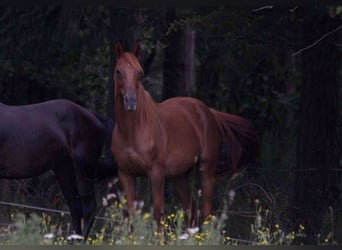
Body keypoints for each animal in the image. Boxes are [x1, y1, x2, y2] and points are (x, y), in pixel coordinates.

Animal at [111, 43, 258, 229]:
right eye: (118, 71)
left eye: (140, 72)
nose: (131, 102)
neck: (133, 131)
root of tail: (209, 112)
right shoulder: (126, 174)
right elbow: (131, 216)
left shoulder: (156, 173)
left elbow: (158, 213)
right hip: (179, 176)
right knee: (191, 210)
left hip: (206, 168)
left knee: (205, 211)